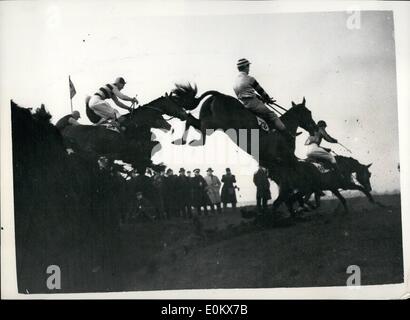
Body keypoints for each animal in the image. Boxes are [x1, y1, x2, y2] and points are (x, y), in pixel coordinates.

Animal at [170, 83, 318, 165]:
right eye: (309, 112)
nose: (315, 127)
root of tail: (218, 94)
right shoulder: (285, 158)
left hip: (210, 120)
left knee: (191, 119)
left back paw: (180, 141)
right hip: (217, 123)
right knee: (201, 128)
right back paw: (194, 141)